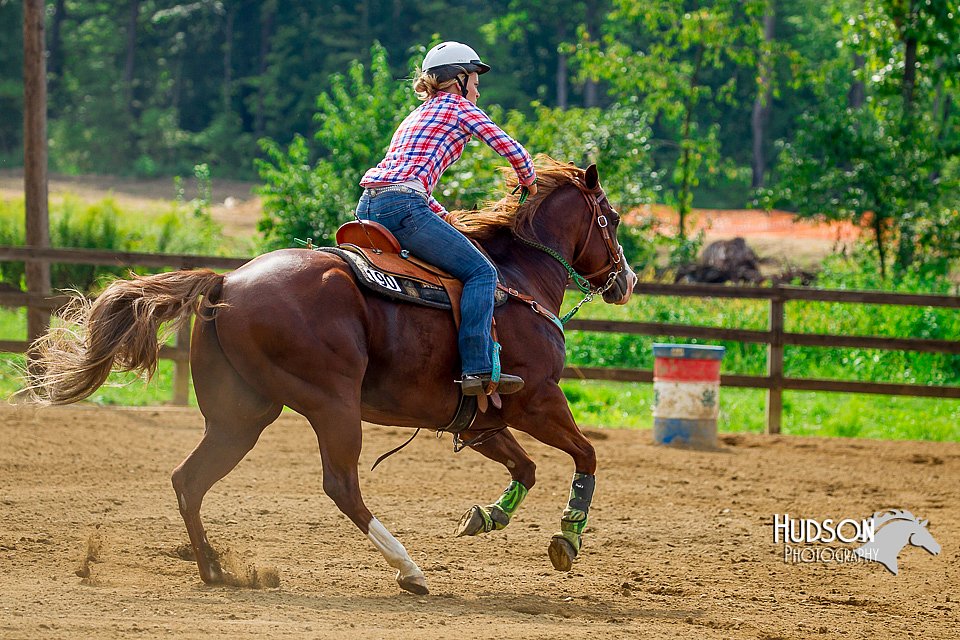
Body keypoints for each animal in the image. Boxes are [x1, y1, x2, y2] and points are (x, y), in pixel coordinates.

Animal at [24, 159, 636, 596]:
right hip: (332, 405)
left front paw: (485, 517)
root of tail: (227, 282)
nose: (627, 280)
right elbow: (586, 455)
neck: (514, 279)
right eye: (610, 219)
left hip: (241, 418)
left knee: (189, 480)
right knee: (341, 485)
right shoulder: (538, 400)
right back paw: (409, 570)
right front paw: (568, 536)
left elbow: (525, 468)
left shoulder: (481, 420)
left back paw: (216, 570)